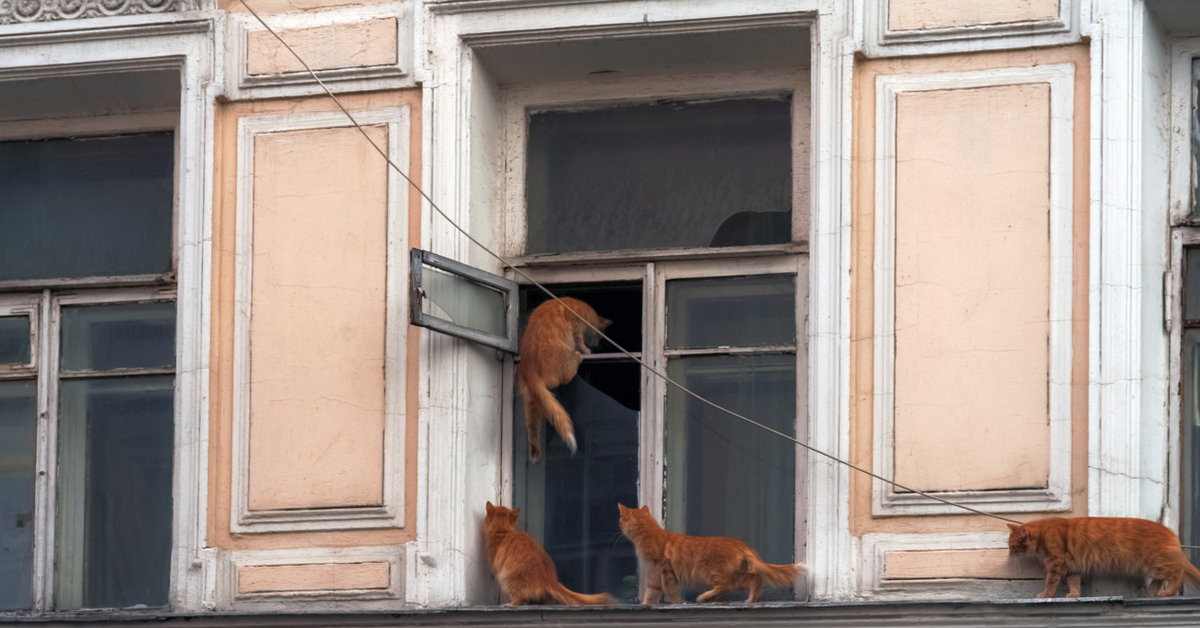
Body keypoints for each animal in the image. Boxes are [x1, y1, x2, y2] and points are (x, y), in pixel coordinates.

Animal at [619, 501, 796, 605]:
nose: (619, 523)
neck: (651, 532)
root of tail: (742, 544)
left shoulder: (664, 568)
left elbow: (669, 591)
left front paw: (677, 603)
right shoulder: (656, 573)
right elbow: (652, 591)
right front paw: (647, 605)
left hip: (710, 571)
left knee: (726, 585)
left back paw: (704, 597)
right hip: (736, 573)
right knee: (755, 579)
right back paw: (752, 599)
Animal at [1008, 518, 1200, 602]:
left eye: (1013, 547)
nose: (1009, 555)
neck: (1043, 532)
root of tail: (1169, 532)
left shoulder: (1056, 564)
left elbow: (1050, 583)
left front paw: (1045, 595)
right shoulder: (1072, 568)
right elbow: (1074, 584)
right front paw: (1074, 595)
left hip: (1155, 563)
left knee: (1177, 572)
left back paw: (1168, 593)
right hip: (1153, 565)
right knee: (1161, 579)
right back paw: (1152, 592)